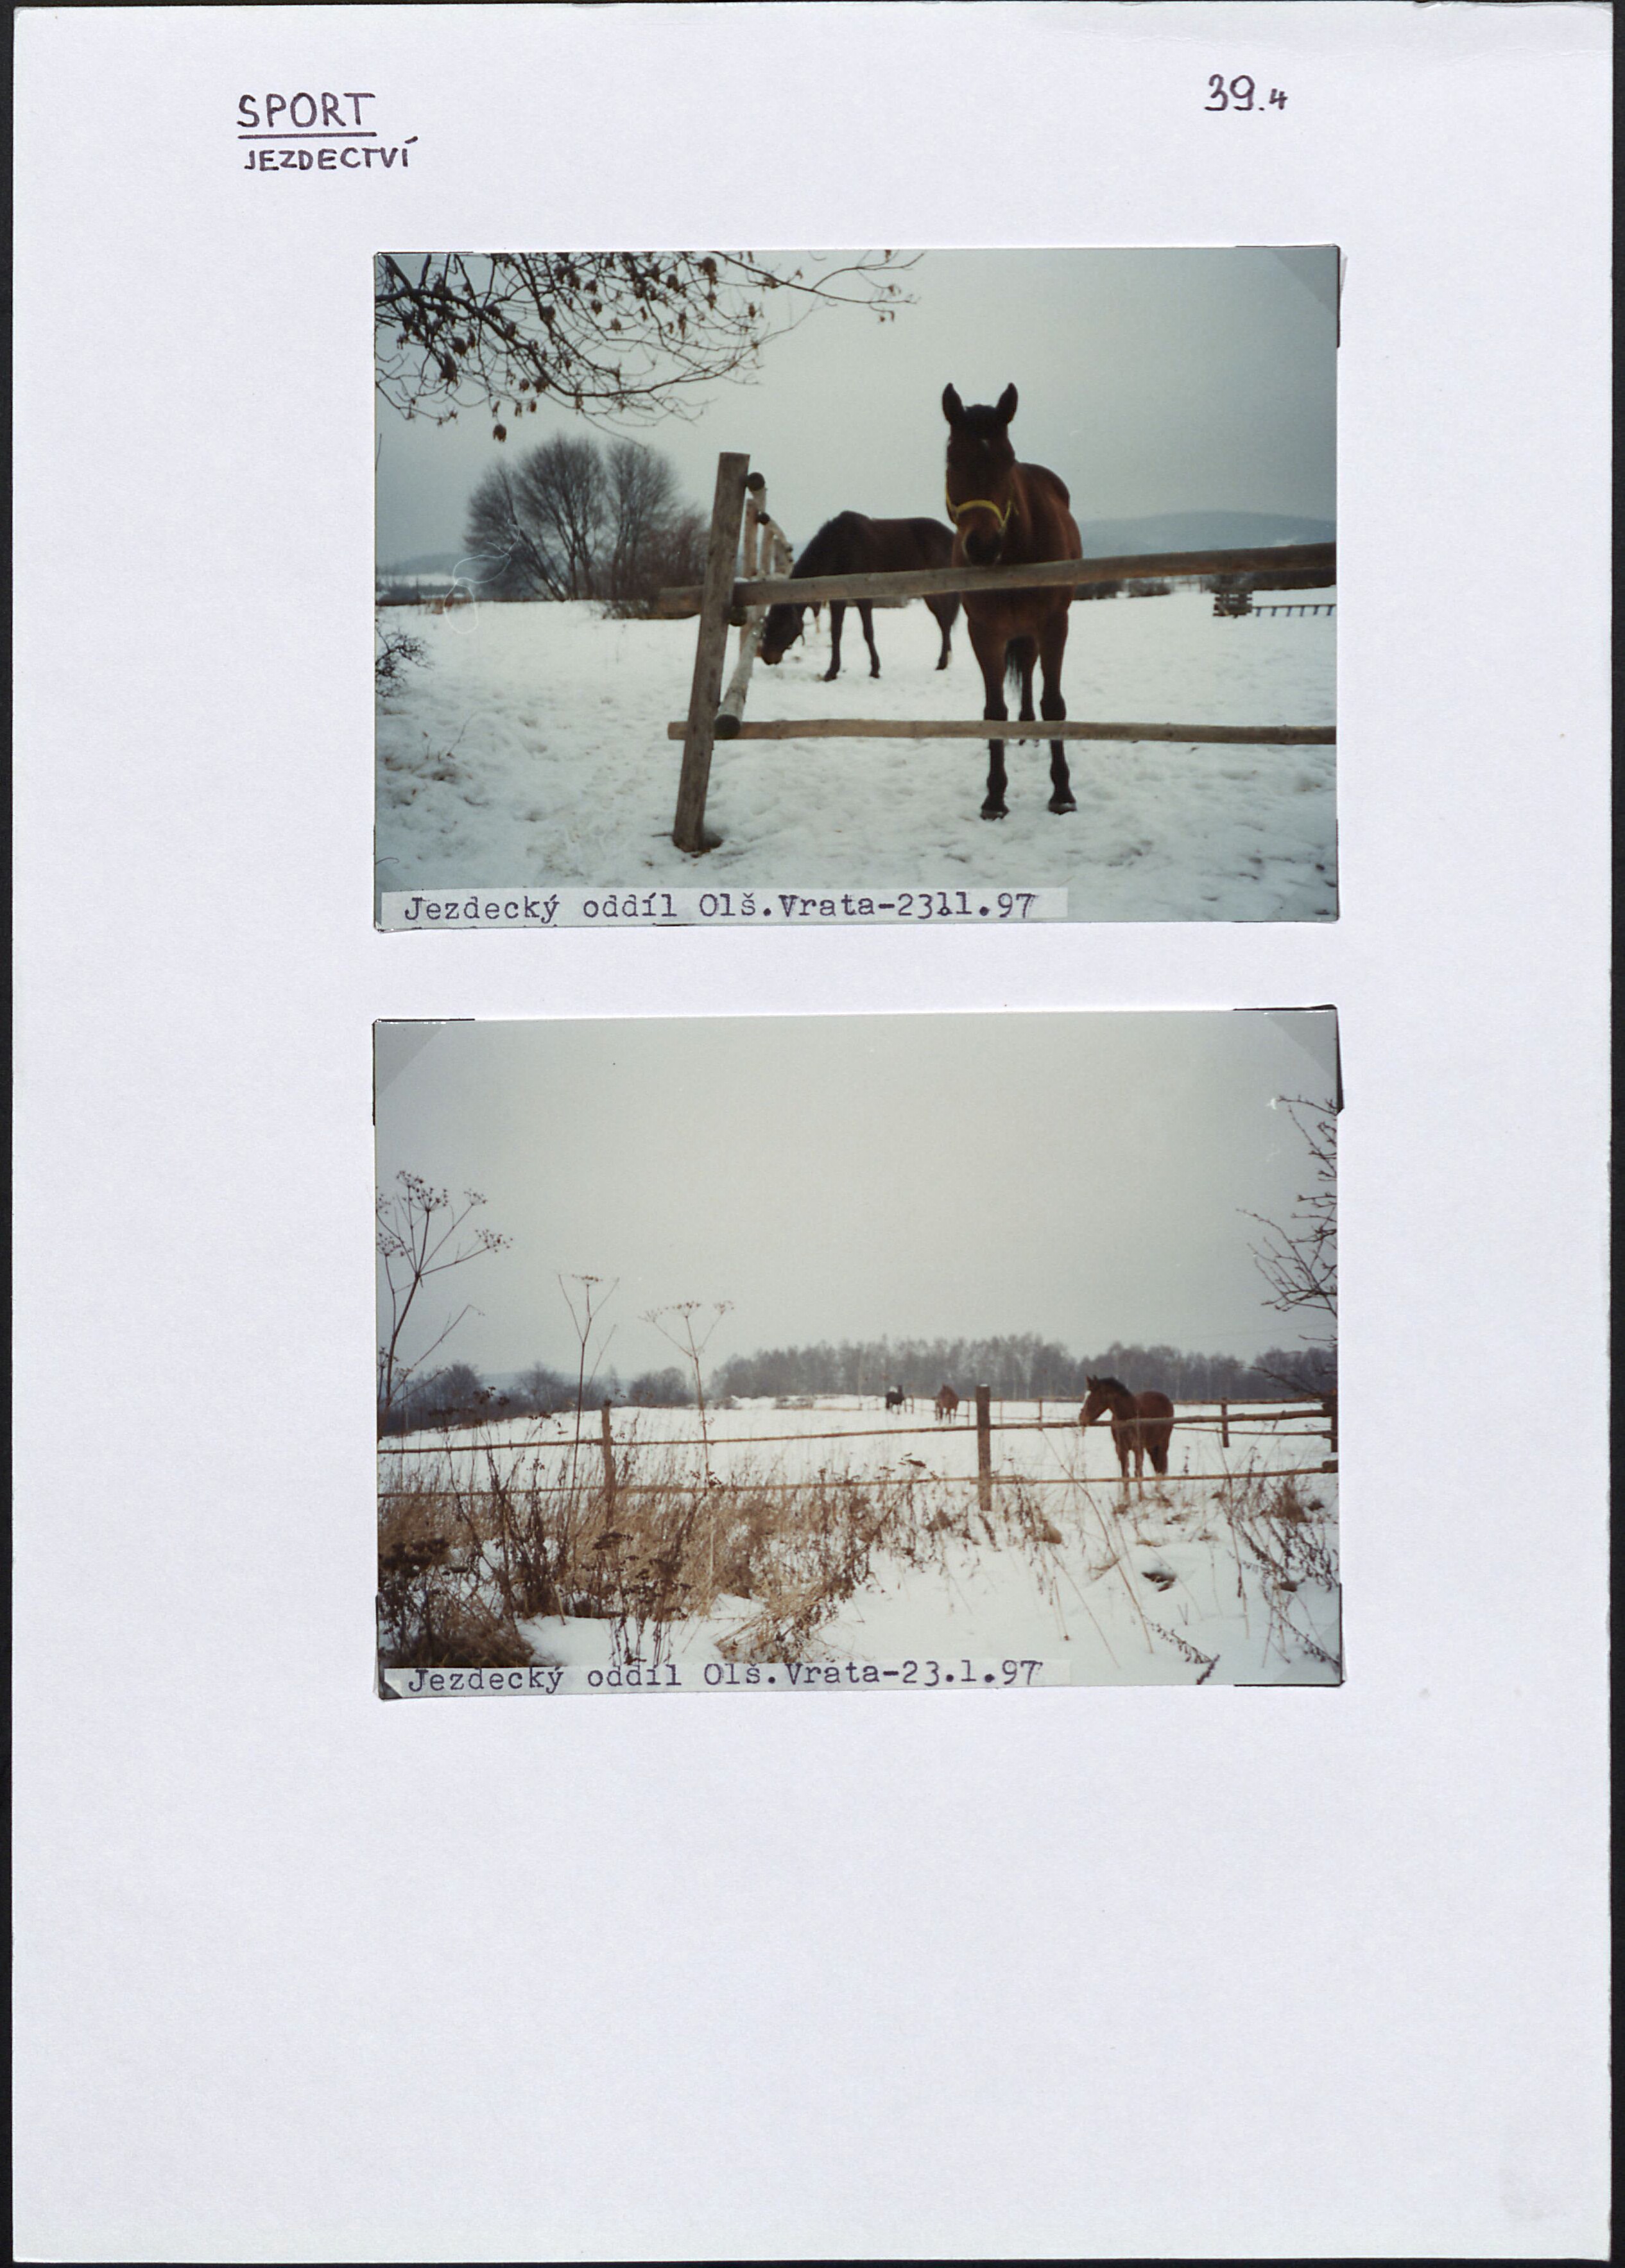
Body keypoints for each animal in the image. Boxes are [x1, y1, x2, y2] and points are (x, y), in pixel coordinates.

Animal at [752, 512, 956, 680]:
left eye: (783, 625)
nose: (767, 657)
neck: (840, 547)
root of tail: (951, 536)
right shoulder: (837, 600)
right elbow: (836, 633)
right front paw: (832, 672)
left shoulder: (864, 598)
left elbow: (868, 633)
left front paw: (875, 670)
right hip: (929, 594)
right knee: (943, 622)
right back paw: (945, 660)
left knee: (945, 622)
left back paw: (942, 663)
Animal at [938, 383, 1078, 826]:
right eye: (953, 458)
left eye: (1007, 458)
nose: (983, 546)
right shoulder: (984, 632)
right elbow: (994, 710)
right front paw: (995, 798)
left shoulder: (1054, 625)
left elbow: (1054, 704)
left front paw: (1062, 793)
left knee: (1032, 673)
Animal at [1083, 1369, 1169, 1496]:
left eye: (1090, 1398)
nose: (1081, 1419)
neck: (1127, 1415)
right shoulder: (1121, 1449)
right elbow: (1125, 1473)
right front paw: (1126, 1498)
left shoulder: (1138, 1448)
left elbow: (1138, 1472)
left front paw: (1141, 1497)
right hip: (1151, 1445)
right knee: (1157, 1465)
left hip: (1163, 1442)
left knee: (1160, 1465)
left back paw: (1159, 1492)